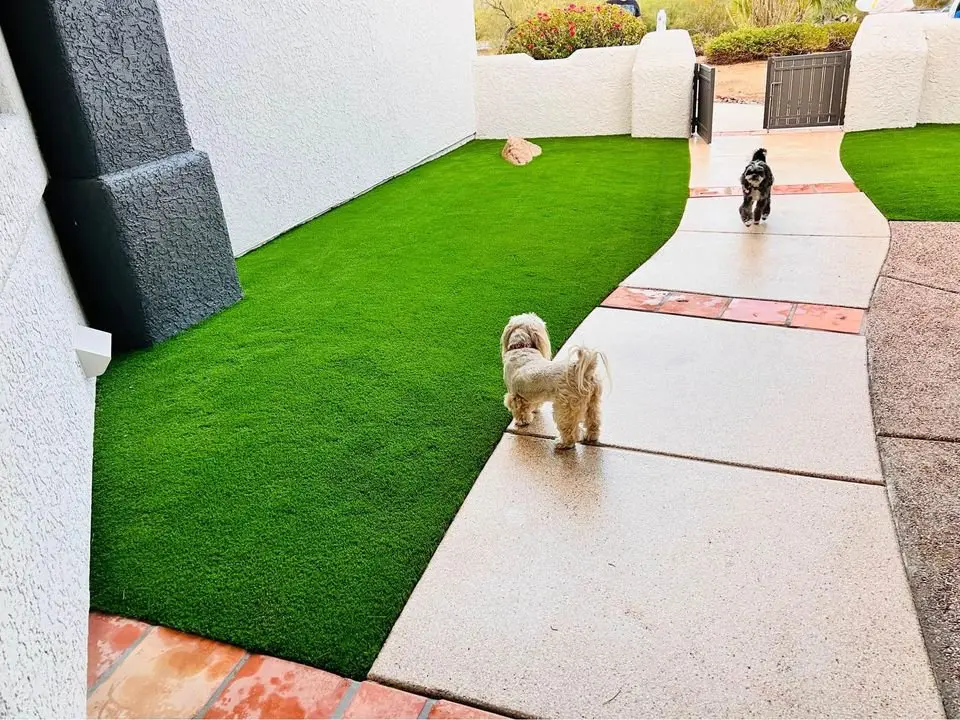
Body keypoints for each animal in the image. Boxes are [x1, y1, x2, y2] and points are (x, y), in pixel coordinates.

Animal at [502, 312, 608, 448]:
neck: (521, 348)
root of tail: (583, 370)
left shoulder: (515, 395)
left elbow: (520, 410)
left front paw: (522, 421)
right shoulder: (532, 394)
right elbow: (534, 404)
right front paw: (534, 411)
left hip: (565, 407)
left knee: (570, 430)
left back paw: (563, 443)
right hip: (593, 402)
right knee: (594, 420)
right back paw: (591, 436)